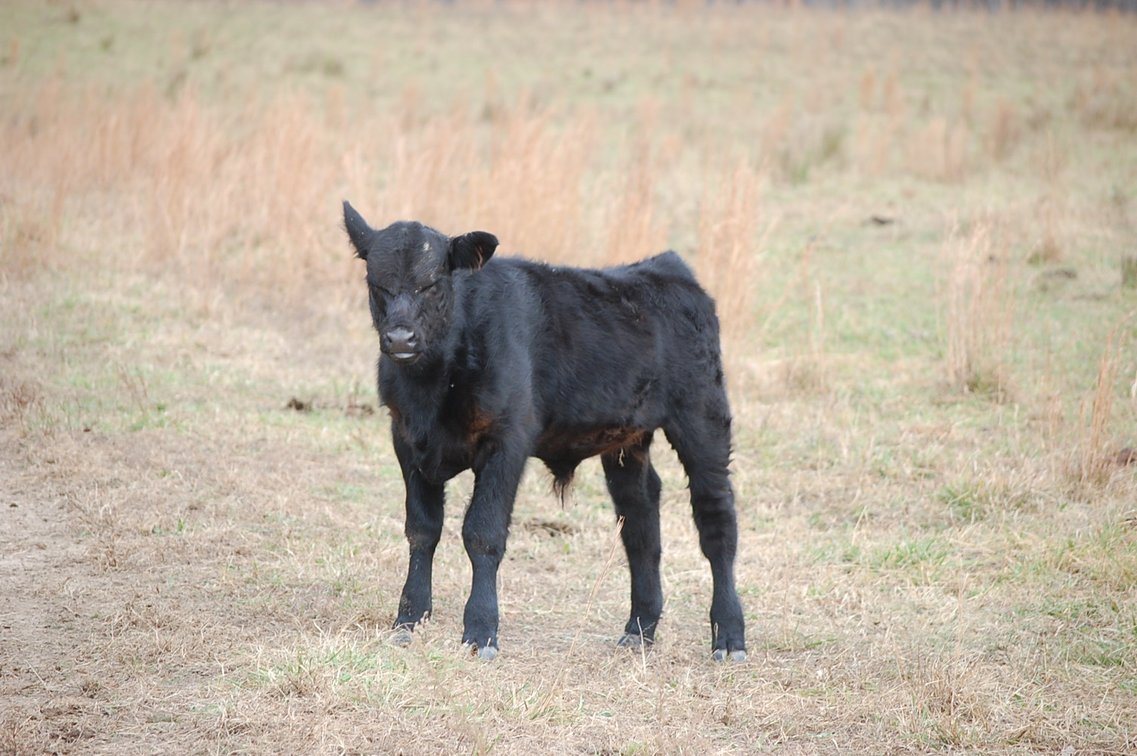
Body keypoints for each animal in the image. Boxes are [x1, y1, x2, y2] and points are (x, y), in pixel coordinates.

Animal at [343, 201, 746, 662]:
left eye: (433, 283)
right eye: (377, 282)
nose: (400, 338)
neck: (432, 386)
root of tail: (666, 267)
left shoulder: (507, 441)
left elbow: (482, 533)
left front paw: (481, 630)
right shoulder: (408, 440)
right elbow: (422, 530)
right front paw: (409, 618)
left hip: (703, 419)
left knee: (716, 521)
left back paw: (729, 636)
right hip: (627, 442)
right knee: (641, 523)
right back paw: (639, 629)